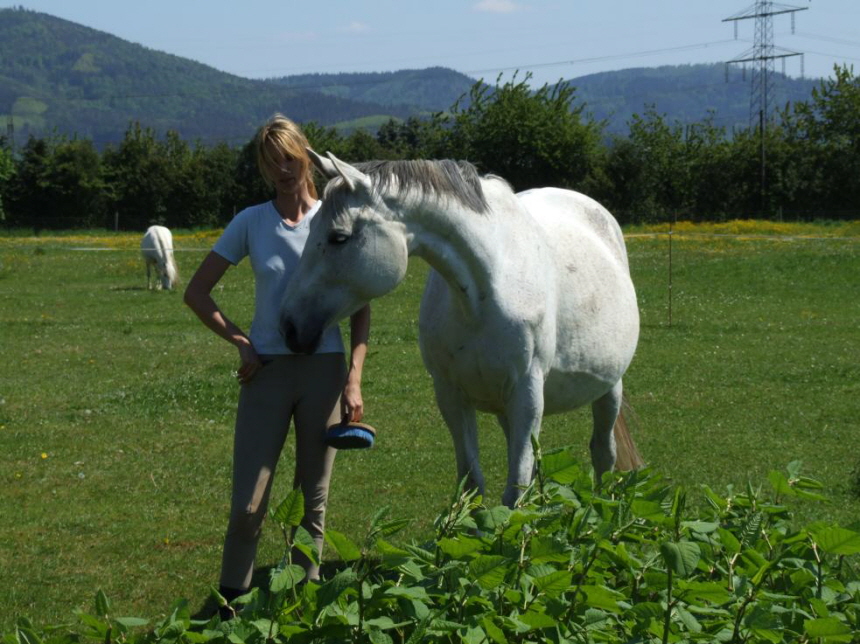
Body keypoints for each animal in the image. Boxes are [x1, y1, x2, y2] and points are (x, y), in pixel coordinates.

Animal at [278, 151, 640, 508]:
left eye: (338, 238)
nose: (289, 326)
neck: (483, 292)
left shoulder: (527, 393)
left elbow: (515, 495)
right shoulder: (451, 394)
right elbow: (472, 485)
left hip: (608, 389)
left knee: (603, 454)